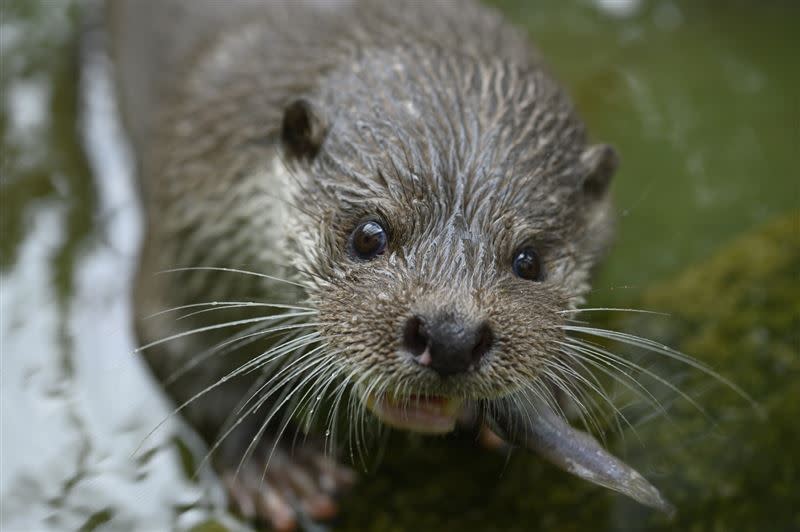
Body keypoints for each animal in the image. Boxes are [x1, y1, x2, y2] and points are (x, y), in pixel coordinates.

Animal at [106, 0, 668, 524]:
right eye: (368, 234)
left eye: (529, 261)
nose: (450, 335)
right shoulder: (190, 220)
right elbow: (178, 346)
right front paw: (277, 461)